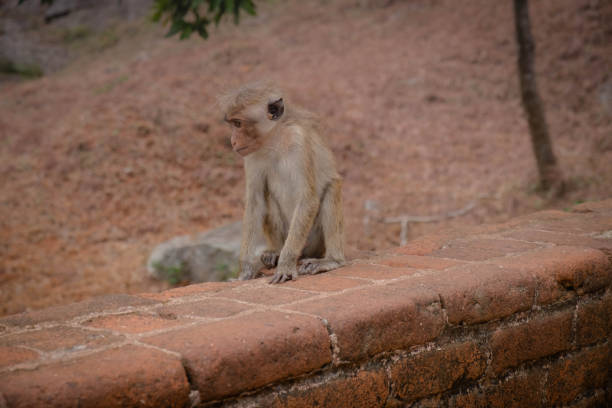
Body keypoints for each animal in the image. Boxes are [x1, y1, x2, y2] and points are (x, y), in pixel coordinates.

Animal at [219, 81, 344, 282]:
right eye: (232, 124)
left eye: (238, 123)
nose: (233, 141)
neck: (274, 140)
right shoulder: (252, 154)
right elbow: (256, 202)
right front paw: (246, 271)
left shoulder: (298, 141)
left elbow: (308, 200)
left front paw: (286, 265)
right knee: (267, 197)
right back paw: (275, 252)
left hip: (313, 241)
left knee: (332, 187)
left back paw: (332, 260)